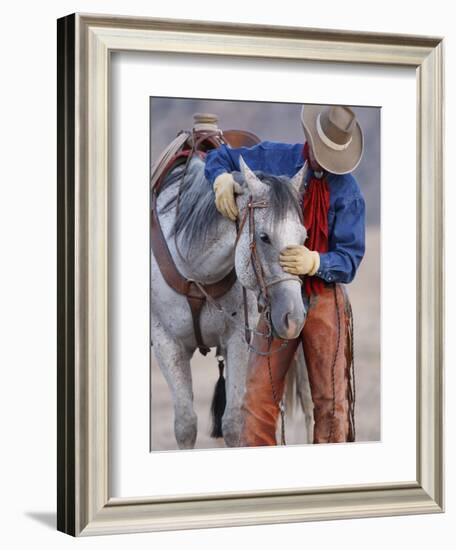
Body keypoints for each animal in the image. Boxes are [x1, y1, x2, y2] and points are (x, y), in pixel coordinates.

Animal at [151, 154, 312, 448]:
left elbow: (234, 423)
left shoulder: (238, 339)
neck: (195, 271)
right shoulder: (166, 342)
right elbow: (186, 425)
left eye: (303, 238)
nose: (294, 318)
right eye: (264, 237)